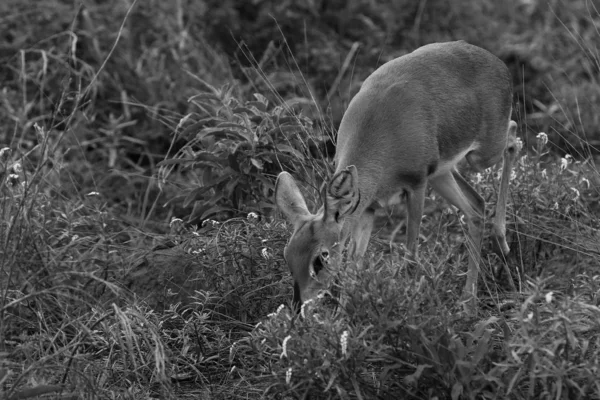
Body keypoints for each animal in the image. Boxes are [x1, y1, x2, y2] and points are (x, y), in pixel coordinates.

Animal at [274, 39, 516, 310]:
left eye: (320, 257)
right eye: (287, 255)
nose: (299, 307)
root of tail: (496, 62)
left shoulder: (417, 186)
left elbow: (410, 255)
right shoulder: (368, 208)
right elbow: (354, 265)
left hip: (481, 157)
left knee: (514, 138)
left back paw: (502, 244)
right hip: (442, 175)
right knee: (476, 207)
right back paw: (468, 298)